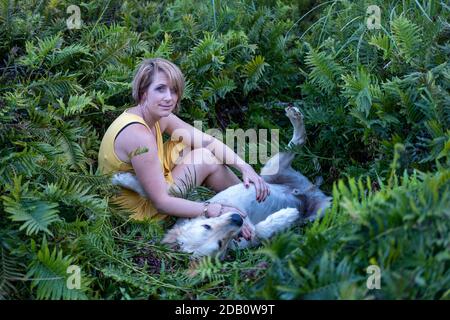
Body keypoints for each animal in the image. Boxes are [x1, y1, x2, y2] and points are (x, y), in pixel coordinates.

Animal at [112, 107, 330, 258]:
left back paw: (294, 115)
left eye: (206, 226)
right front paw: (287, 215)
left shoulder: (190, 194)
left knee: (297, 142)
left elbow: (169, 191)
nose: (237, 218)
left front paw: (123, 179)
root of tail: (311, 192)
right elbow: (261, 230)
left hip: (269, 172)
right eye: (219, 243)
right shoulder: (251, 239)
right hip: (319, 209)